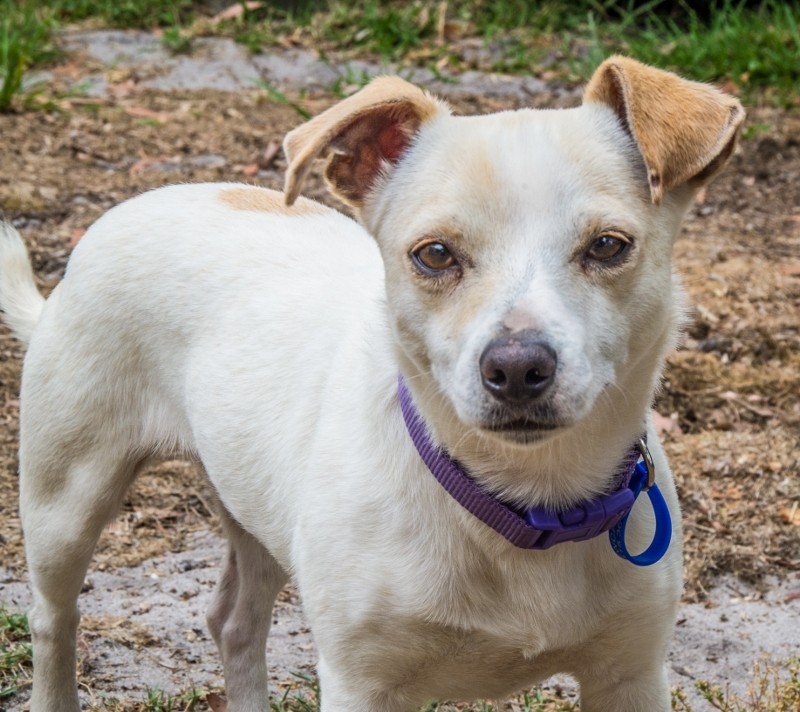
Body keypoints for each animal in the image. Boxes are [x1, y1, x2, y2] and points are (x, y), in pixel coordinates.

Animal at [0, 56, 743, 712]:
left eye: (609, 246)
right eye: (435, 254)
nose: (516, 367)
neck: (522, 500)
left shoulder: (631, 676)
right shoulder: (363, 682)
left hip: (252, 504)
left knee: (234, 620)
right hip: (66, 502)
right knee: (53, 619)